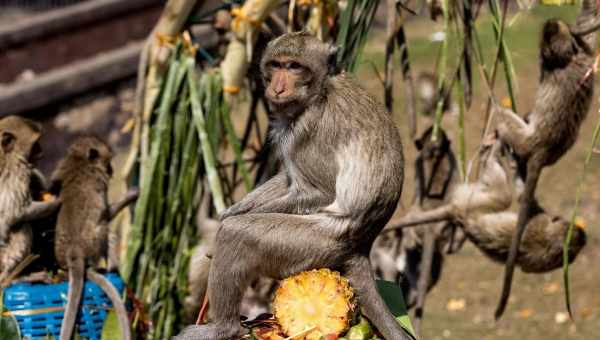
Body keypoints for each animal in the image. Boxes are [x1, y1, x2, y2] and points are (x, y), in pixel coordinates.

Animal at [0, 115, 60, 286]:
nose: (42, 151)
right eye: (35, 144)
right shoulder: (17, 171)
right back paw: (13, 278)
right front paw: (57, 200)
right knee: (22, 225)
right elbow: (18, 212)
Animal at [51, 137, 137, 340]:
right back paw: (112, 267)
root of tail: (73, 251)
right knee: (104, 227)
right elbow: (107, 213)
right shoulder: (100, 182)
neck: (79, 161)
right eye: (108, 161)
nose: (112, 170)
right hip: (93, 244)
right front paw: (131, 195)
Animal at [175, 32, 412, 340]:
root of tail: (362, 244)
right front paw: (232, 210)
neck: (320, 92)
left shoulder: (309, 129)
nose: (277, 86)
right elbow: (287, 179)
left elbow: (320, 192)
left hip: (317, 244)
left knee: (238, 235)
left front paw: (227, 223)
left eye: (294, 66)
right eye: (276, 65)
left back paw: (223, 327)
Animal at [492, 0, 600, 318]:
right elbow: (589, 30)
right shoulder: (582, 52)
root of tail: (543, 149)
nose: (552, 22)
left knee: (506, 119)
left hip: (525, 138)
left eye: (550, 34)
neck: (566, 59)